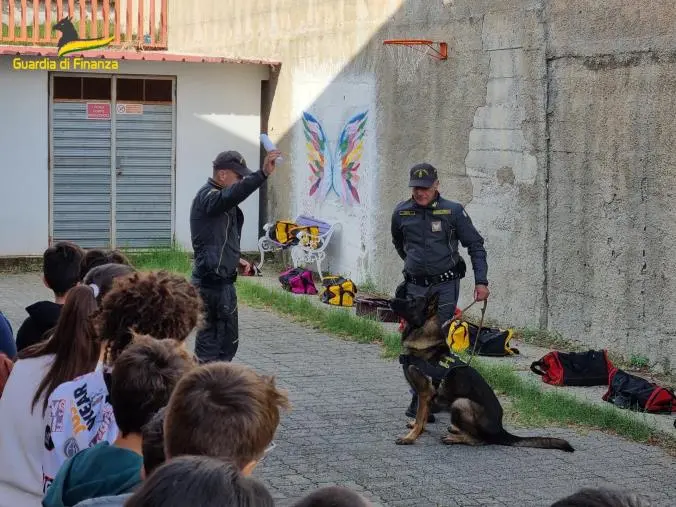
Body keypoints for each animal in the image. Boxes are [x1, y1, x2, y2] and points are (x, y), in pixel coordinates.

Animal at [390, 292, 576, 454]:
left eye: (412, 302)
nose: (390, 300)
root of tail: (501, 430)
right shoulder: (425, 396)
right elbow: (422, 417)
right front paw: (416, 427)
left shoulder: (424, 393)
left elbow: (420, 418)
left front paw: (410, 437)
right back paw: (456, 430)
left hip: (461, 403)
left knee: (480, 440)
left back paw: (456, 437)